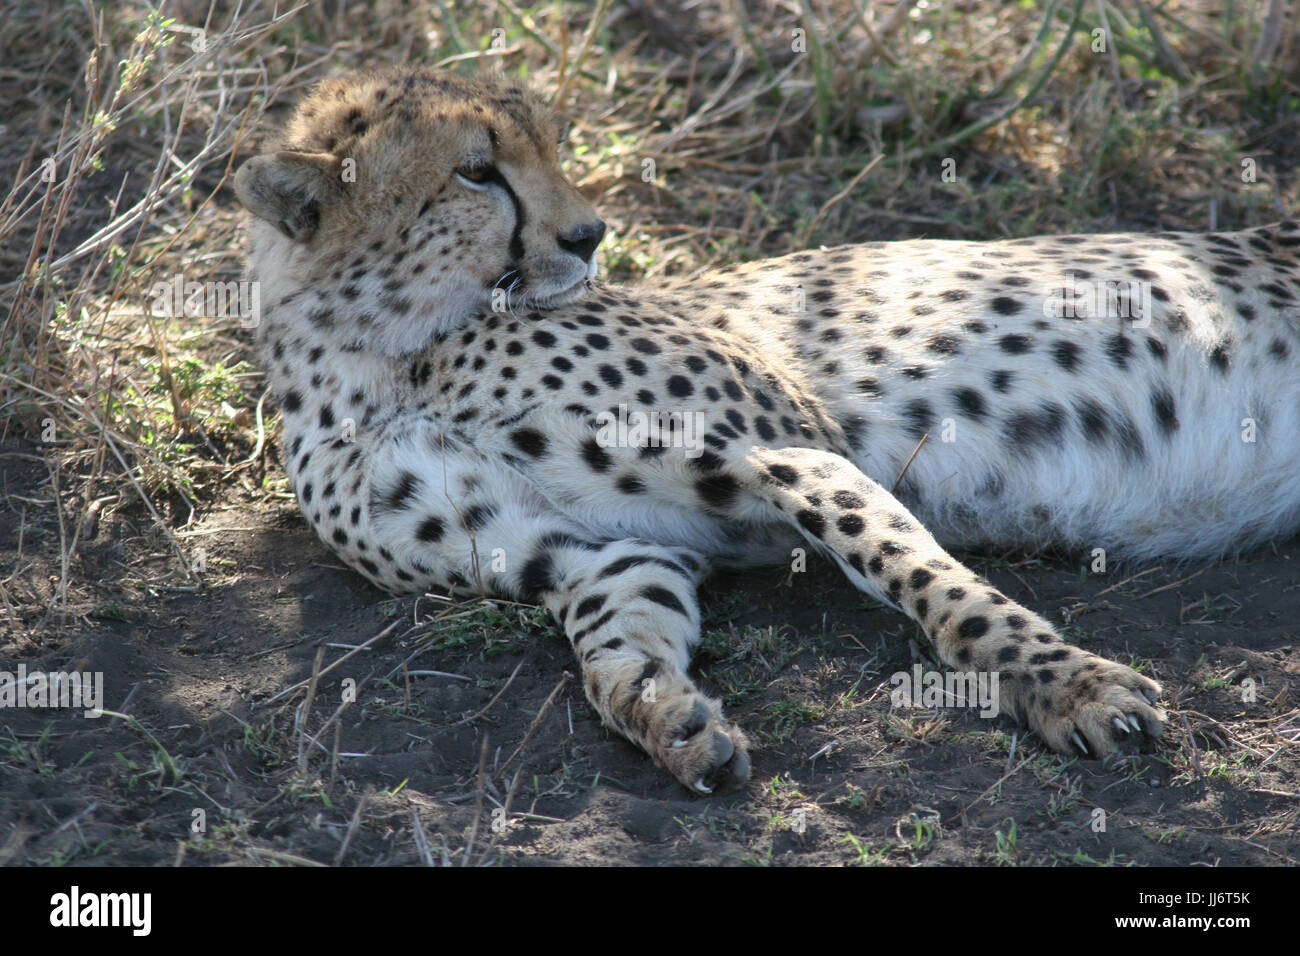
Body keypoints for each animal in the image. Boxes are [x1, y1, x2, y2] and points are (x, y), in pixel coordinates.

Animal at [236, 70, 1300, 796]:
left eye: (549, 148)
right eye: (476, 172)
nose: (591, 235)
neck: (389, 353)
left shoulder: (782, 444)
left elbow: (932, 584)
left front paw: (1067, 686)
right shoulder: (585, 550)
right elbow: (617, 646)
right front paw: (667, 718)